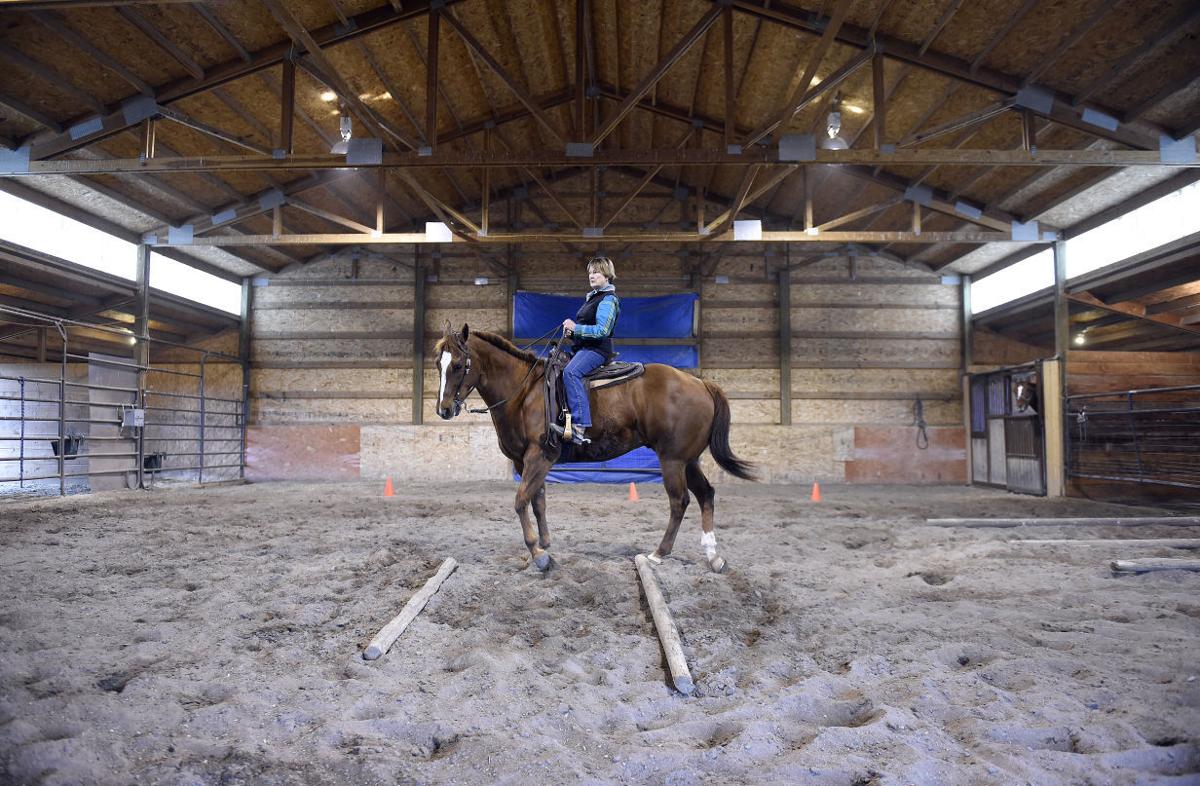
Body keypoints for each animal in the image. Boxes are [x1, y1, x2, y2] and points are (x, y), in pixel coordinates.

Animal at [433, 322, 756, 573]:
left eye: (459, 365)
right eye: (439, 364)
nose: (444, 409)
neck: (524, 393)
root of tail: (700, 383)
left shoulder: (539, 456)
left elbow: (521, 500)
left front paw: (538, 555)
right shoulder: (526, 462)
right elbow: (538, 501)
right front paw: (545, 544)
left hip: (672, 460)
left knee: (680, 502)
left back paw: (659, 554)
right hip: (689, 460)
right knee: (706, 495)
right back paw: (713, 557)